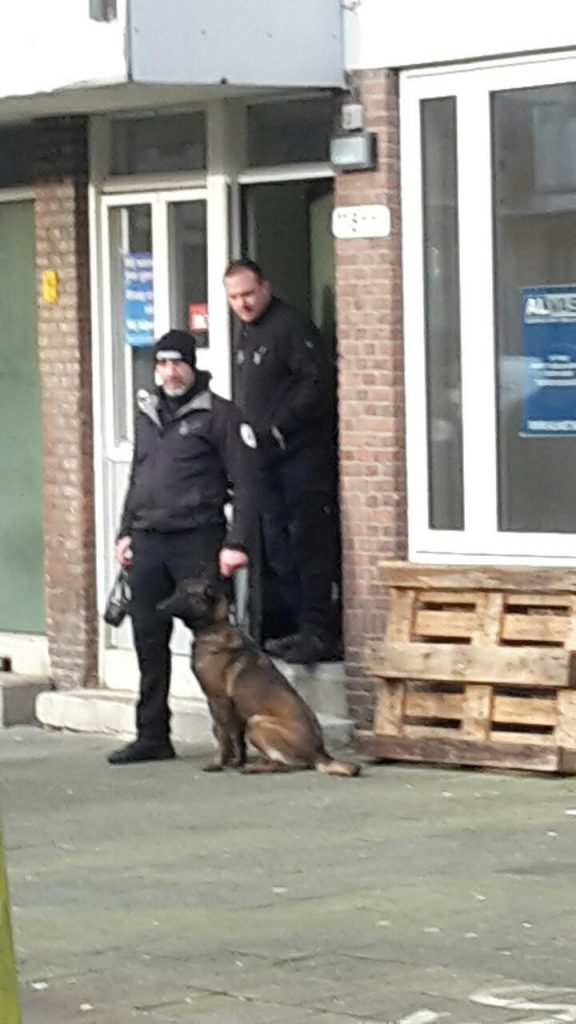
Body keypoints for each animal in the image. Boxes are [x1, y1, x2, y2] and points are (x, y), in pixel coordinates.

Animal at [158, 577, 358, 774]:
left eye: (186, 593)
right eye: (176, 590)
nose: (159, 606)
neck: (215, 627)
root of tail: (320, 754)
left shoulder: (218, 700)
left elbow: (222, 735)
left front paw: (218, 763)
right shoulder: (233, 710)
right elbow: (237, 740)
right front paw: (236, 761)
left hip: (256, 722)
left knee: (289, 765)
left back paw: (255, 767)